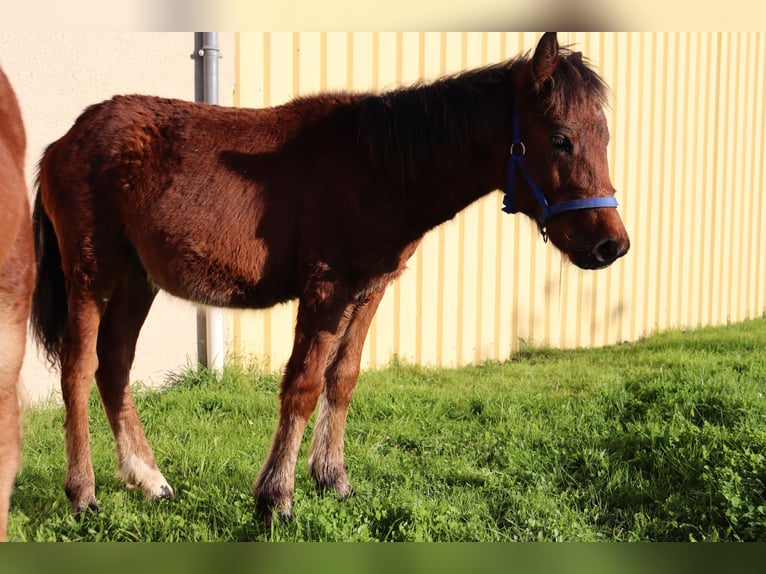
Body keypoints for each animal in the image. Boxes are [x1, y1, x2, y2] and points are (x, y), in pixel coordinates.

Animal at [30, 32, 632, 528]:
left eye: (605, 136)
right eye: (560, 138)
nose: (612, 246)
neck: (375, 168)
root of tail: (63, 143)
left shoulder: (368, 291)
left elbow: (342, 379)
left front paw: (333, 479)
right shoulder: (324, 291)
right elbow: (302, 385)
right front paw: (276, 497)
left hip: (138, 279)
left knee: (114, 366)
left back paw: (148, 479)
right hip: (92, 274)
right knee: (78, 369)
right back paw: (82, 493)